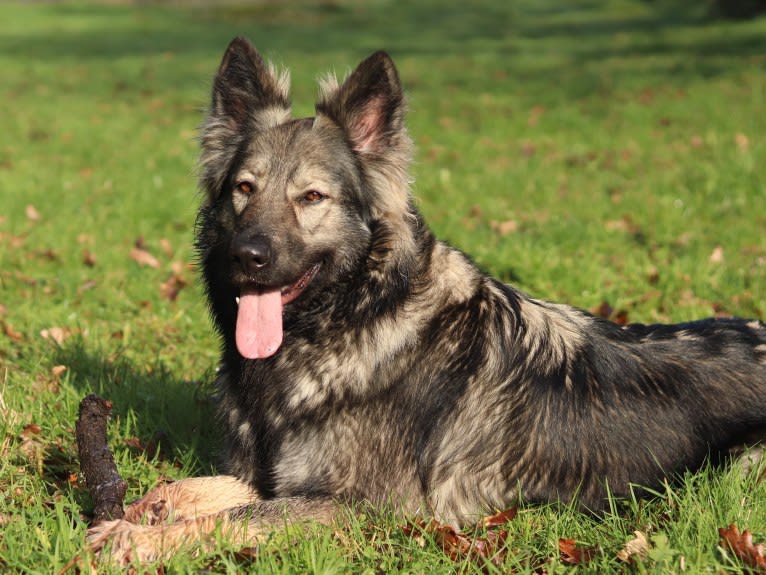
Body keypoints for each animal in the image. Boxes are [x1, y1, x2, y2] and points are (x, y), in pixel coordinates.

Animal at [88, 38, 766, 564]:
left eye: (312, 198)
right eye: (244, 190)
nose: (247, 257)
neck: (349, 319)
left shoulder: (355, 506)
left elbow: (234, 519)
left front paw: (137, 540)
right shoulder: (270, 475)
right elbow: (196, 486)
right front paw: (142, 510)